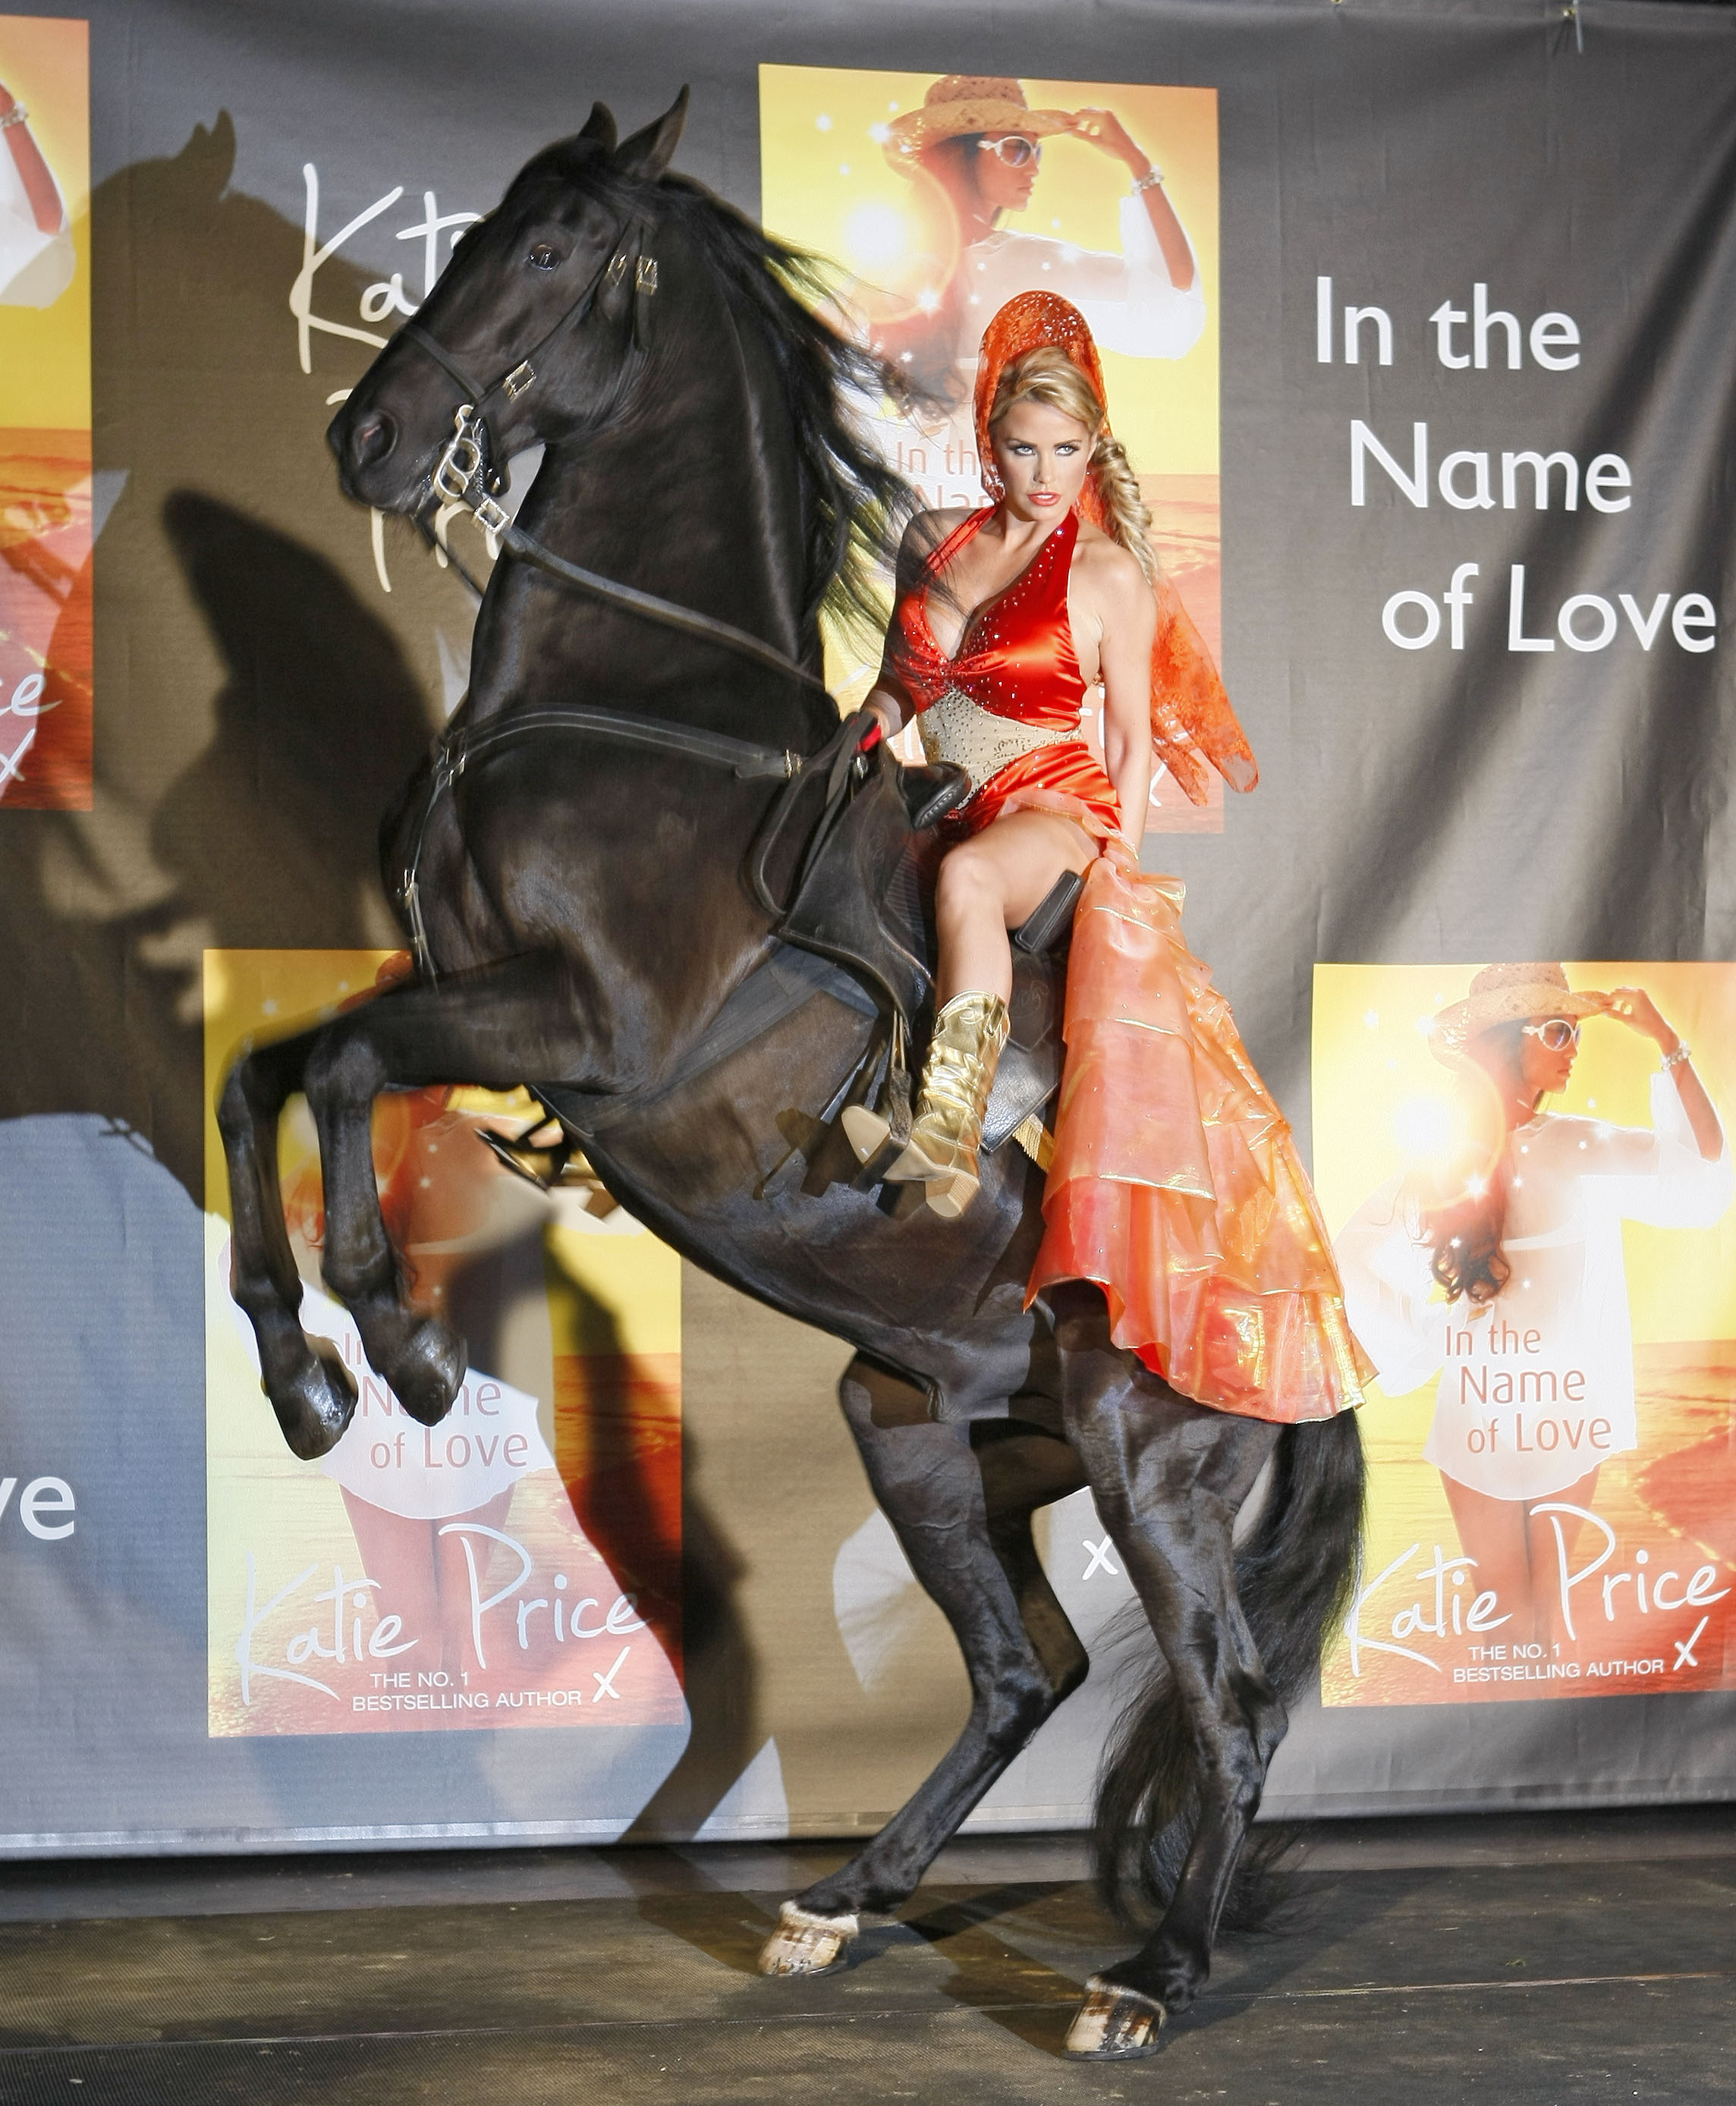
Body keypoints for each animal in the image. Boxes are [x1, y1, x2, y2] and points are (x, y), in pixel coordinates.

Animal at [217, 90, 1365, 2060]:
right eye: (483, 224)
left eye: (546, 247)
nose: (365, 439)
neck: (644, 717)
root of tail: (1308, 1326)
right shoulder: (464, 988)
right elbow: (265, 1070)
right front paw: (301, 1371)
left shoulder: (590, 1028)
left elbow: (349, 1067)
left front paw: (405, 1344)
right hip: (919, 1424)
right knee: (1024, 1665)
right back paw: (844, 1897)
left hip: (1147, 1469)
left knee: (1222, 1695)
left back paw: (1145, 1976)